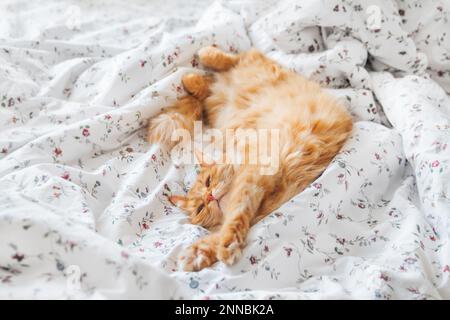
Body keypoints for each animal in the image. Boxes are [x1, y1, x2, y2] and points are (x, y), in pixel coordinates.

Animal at [147, 46, 352, 272]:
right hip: (216, 106)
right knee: (207, 88)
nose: (209, 197)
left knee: (237, 58)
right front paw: (200, 253)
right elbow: (220, 235)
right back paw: (194, 78)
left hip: (260, 70)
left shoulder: (251, 179)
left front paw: (226, 246)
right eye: (201, 208)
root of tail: (224, 87)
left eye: (209, 181)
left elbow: (235, 218)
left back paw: (201, 61)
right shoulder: (258, 206)